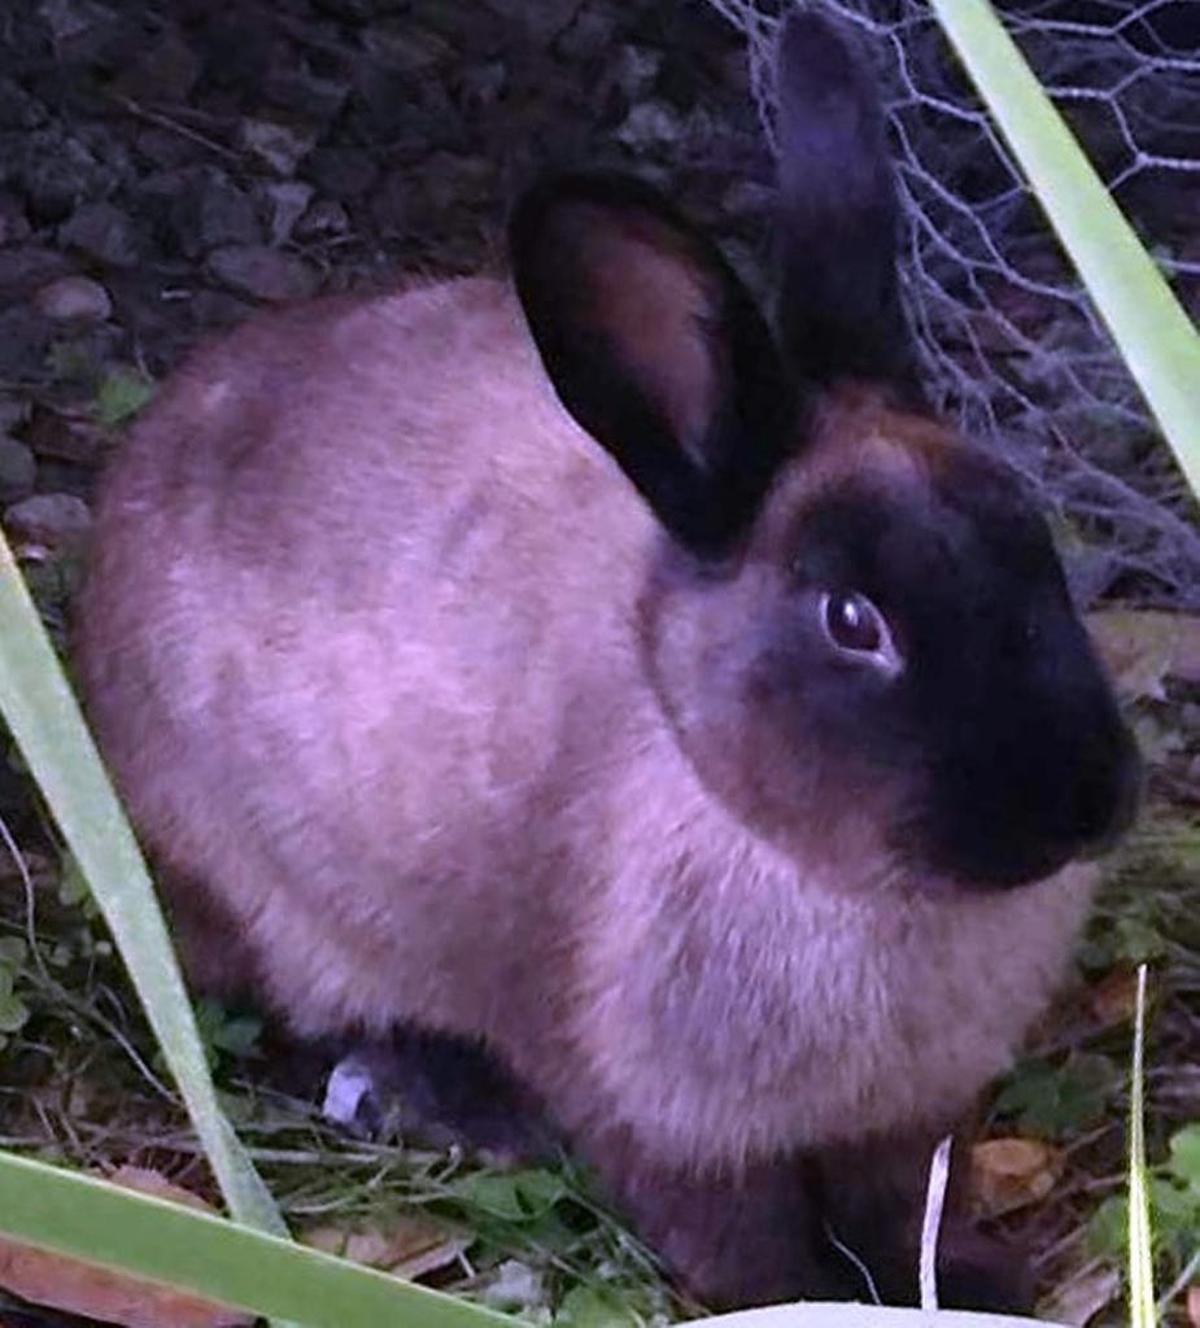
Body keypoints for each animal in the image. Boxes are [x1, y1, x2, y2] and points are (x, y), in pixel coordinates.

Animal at [75, 9, 1139, 1313]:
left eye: (1037, 546)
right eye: (853, 620)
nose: (1085, 804)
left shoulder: (906, 1119)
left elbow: (902, 1211)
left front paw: (975, 1287)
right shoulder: (657, 1119)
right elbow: (739, 1238)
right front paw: (796, 1302)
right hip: (246, 883)